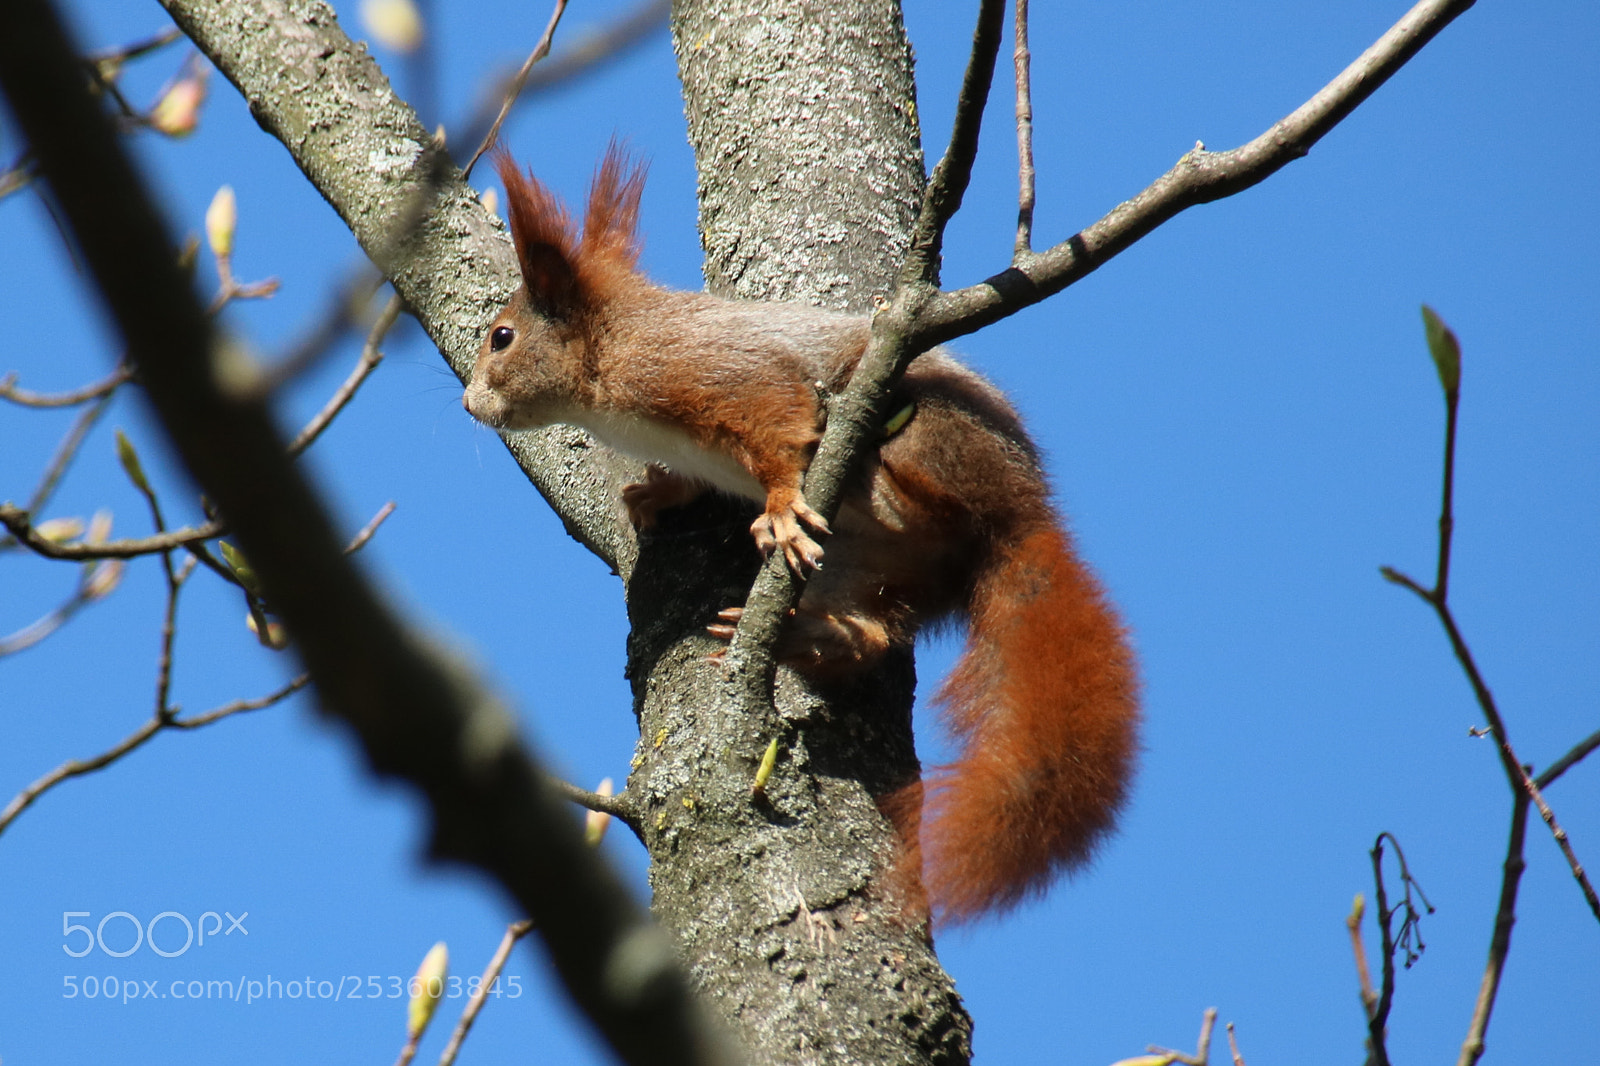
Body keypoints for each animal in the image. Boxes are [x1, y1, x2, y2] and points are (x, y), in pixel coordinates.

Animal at [464, 148, 1140, 924]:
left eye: (502, 337)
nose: (470, 402)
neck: (609, 356)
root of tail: (1024, 514)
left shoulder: (712, 373)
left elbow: (777, 421)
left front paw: (781, 506)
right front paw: (658, 491)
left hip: (935, 439)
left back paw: (866, 493)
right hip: (876, 568)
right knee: (873, 633)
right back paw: (805, 635)